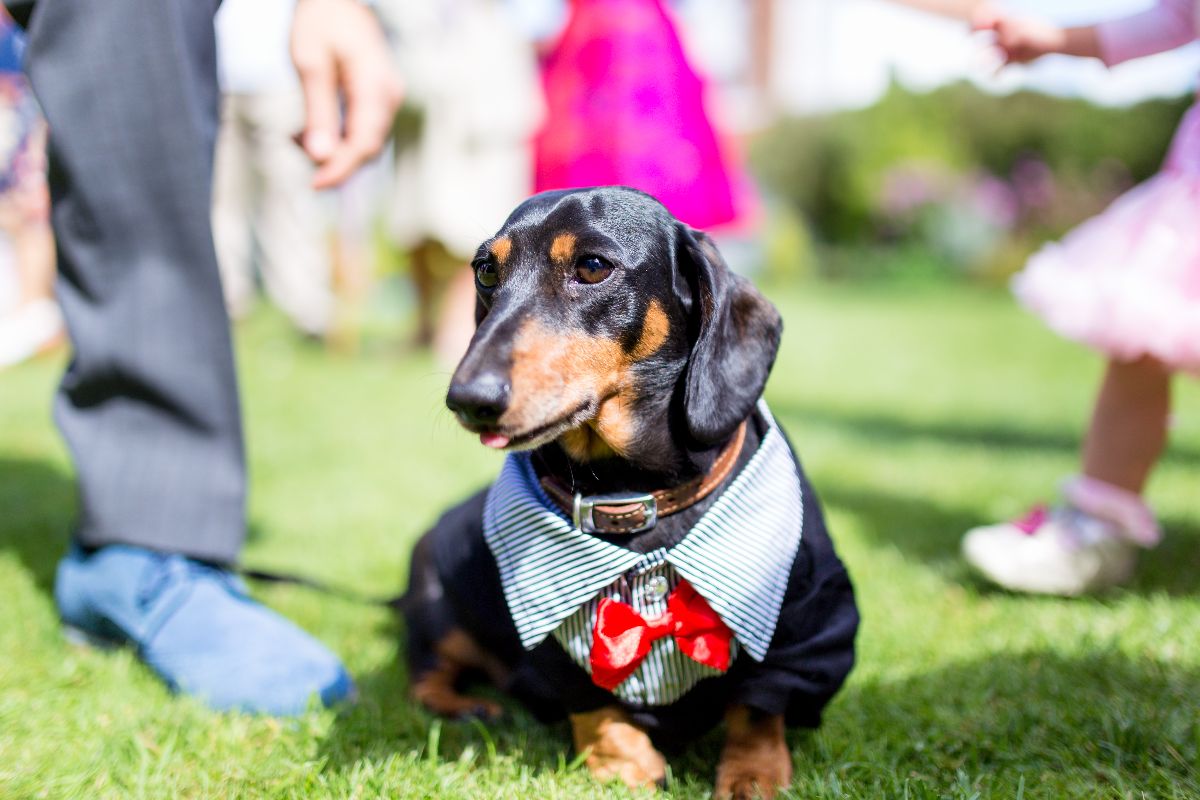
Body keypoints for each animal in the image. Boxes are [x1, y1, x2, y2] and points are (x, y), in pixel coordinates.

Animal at [408, 188, 859, 800]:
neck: (632, 497)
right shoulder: (547, 633)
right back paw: (466, 705)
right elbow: (592, 704)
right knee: (425, 674)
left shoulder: (806, 618)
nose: (468, 398)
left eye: (593, 266)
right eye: (485, 271)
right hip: (437, 602)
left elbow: (760, 703)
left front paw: (753, 772)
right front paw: (623, 763)